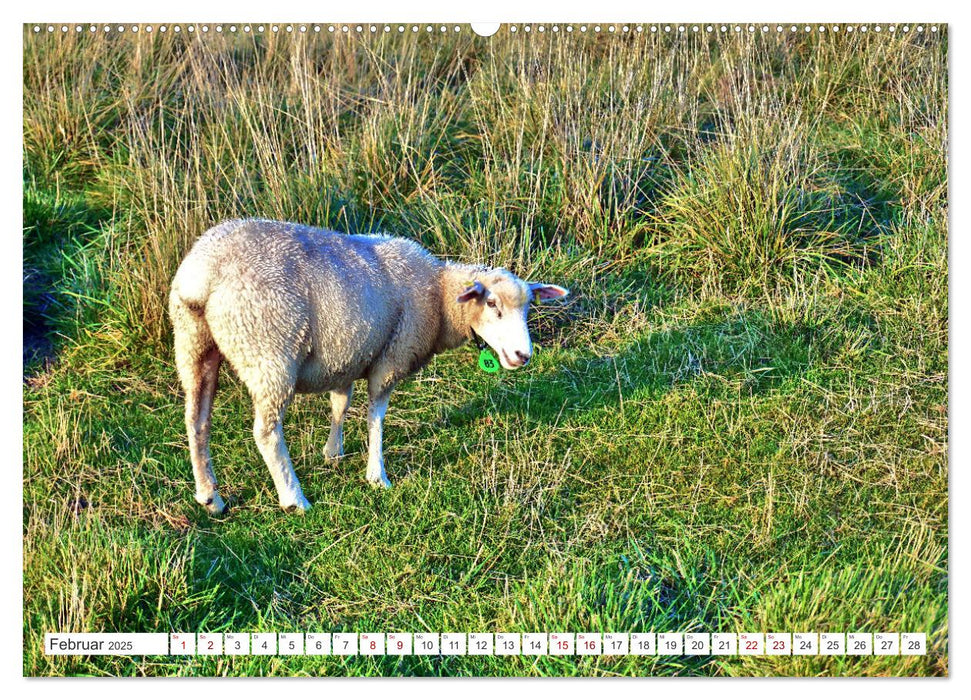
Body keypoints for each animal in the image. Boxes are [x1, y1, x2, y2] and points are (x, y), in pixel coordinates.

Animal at [168, 219, 568, 516]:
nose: (522, 355)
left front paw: (333, 452)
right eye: (492, 304)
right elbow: (376, 415)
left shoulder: (345, 354)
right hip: (270, 351)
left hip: (193, 344)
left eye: (528, 307)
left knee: (196, 421)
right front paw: (377, 474)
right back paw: (294, 498)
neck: (438, 296)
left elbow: (340, 403)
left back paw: (209, 496)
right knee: (266, 433)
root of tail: (202, 274)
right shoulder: (391, 357)